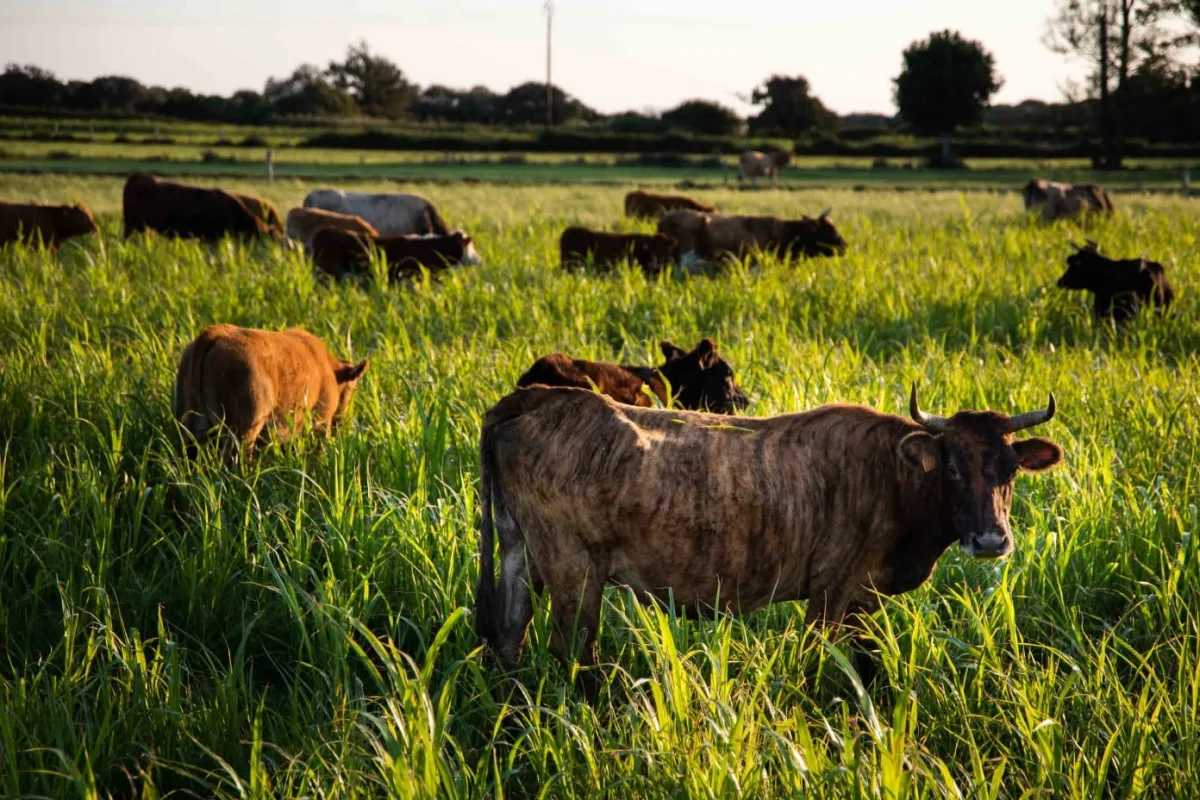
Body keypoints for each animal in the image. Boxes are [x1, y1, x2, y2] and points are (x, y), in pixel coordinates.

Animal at [173, 324, 367, 464]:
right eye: (351, 390)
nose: (343, 424)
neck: (330, 370)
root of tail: (213, 333)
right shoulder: (320, 421)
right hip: (242, 432)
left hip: (191, 428)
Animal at [475, 384, 1062, 694]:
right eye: (954, 469)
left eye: (1010, 469)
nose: (990, 541)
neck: (891, 477)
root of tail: (540, 396)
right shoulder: (831, 592)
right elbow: (818, 662)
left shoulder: (866, 597)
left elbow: (866, 664)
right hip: (573, 567)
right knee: (572, 649)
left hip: (516, 549)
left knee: (508, 631)